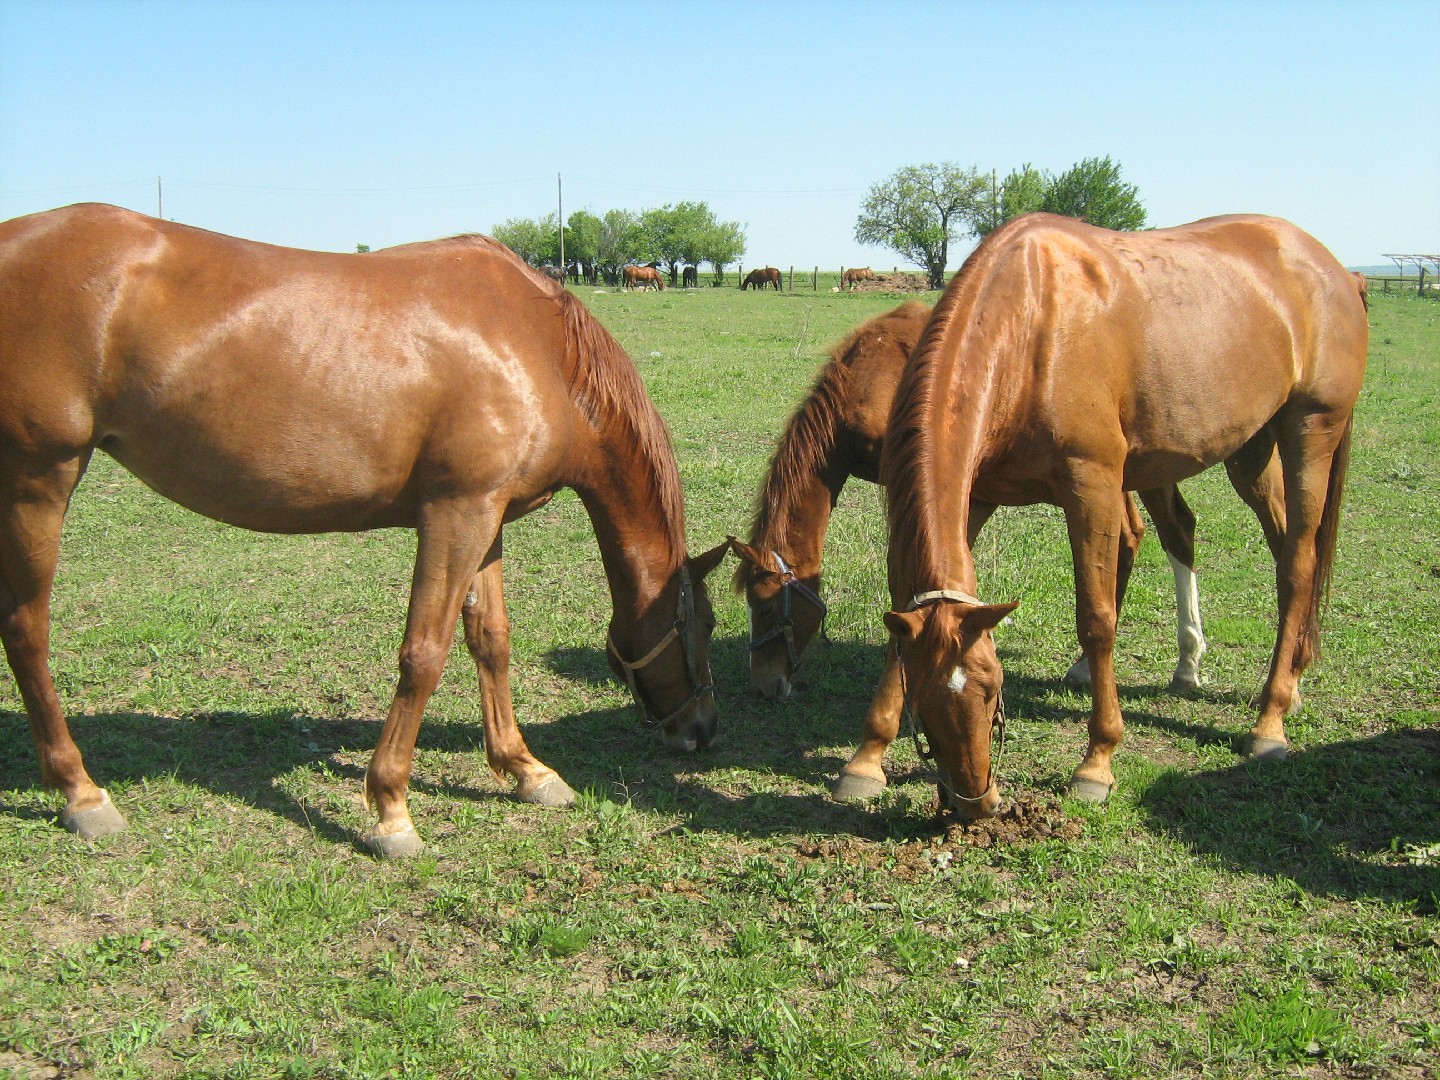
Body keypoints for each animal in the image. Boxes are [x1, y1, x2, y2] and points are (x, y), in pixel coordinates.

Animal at [0, 203, 729, 858]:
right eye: (707, 622)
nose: (703, 729)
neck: (536, 344)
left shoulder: (487, 517)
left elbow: (490, 641)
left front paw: (525, 769)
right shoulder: (456, 512)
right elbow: (425, 653)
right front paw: (390, 809)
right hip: (39, 480)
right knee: (26, 630)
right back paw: (81, 794)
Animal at [729, 300, 1280, 799]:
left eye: (767, 607)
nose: (764, 684)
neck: (871, 373)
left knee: (1176, 531)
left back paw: (1190, 664)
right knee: (1139, 535)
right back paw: (1105, 665)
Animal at [879, 213, 1367, 818]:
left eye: (992, 688)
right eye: (922, 696)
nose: (974, 802)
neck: (1030, 326)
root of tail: (1337, 271)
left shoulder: (1091, 486)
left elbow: (1097, 618)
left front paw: (1097, 761)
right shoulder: (978, 497)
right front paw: (865, 758)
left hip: (1310, 433)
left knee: (1297, 565)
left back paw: (1269, 721)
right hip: (1250, 451)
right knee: (1276, 550)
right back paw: (1286, 678)